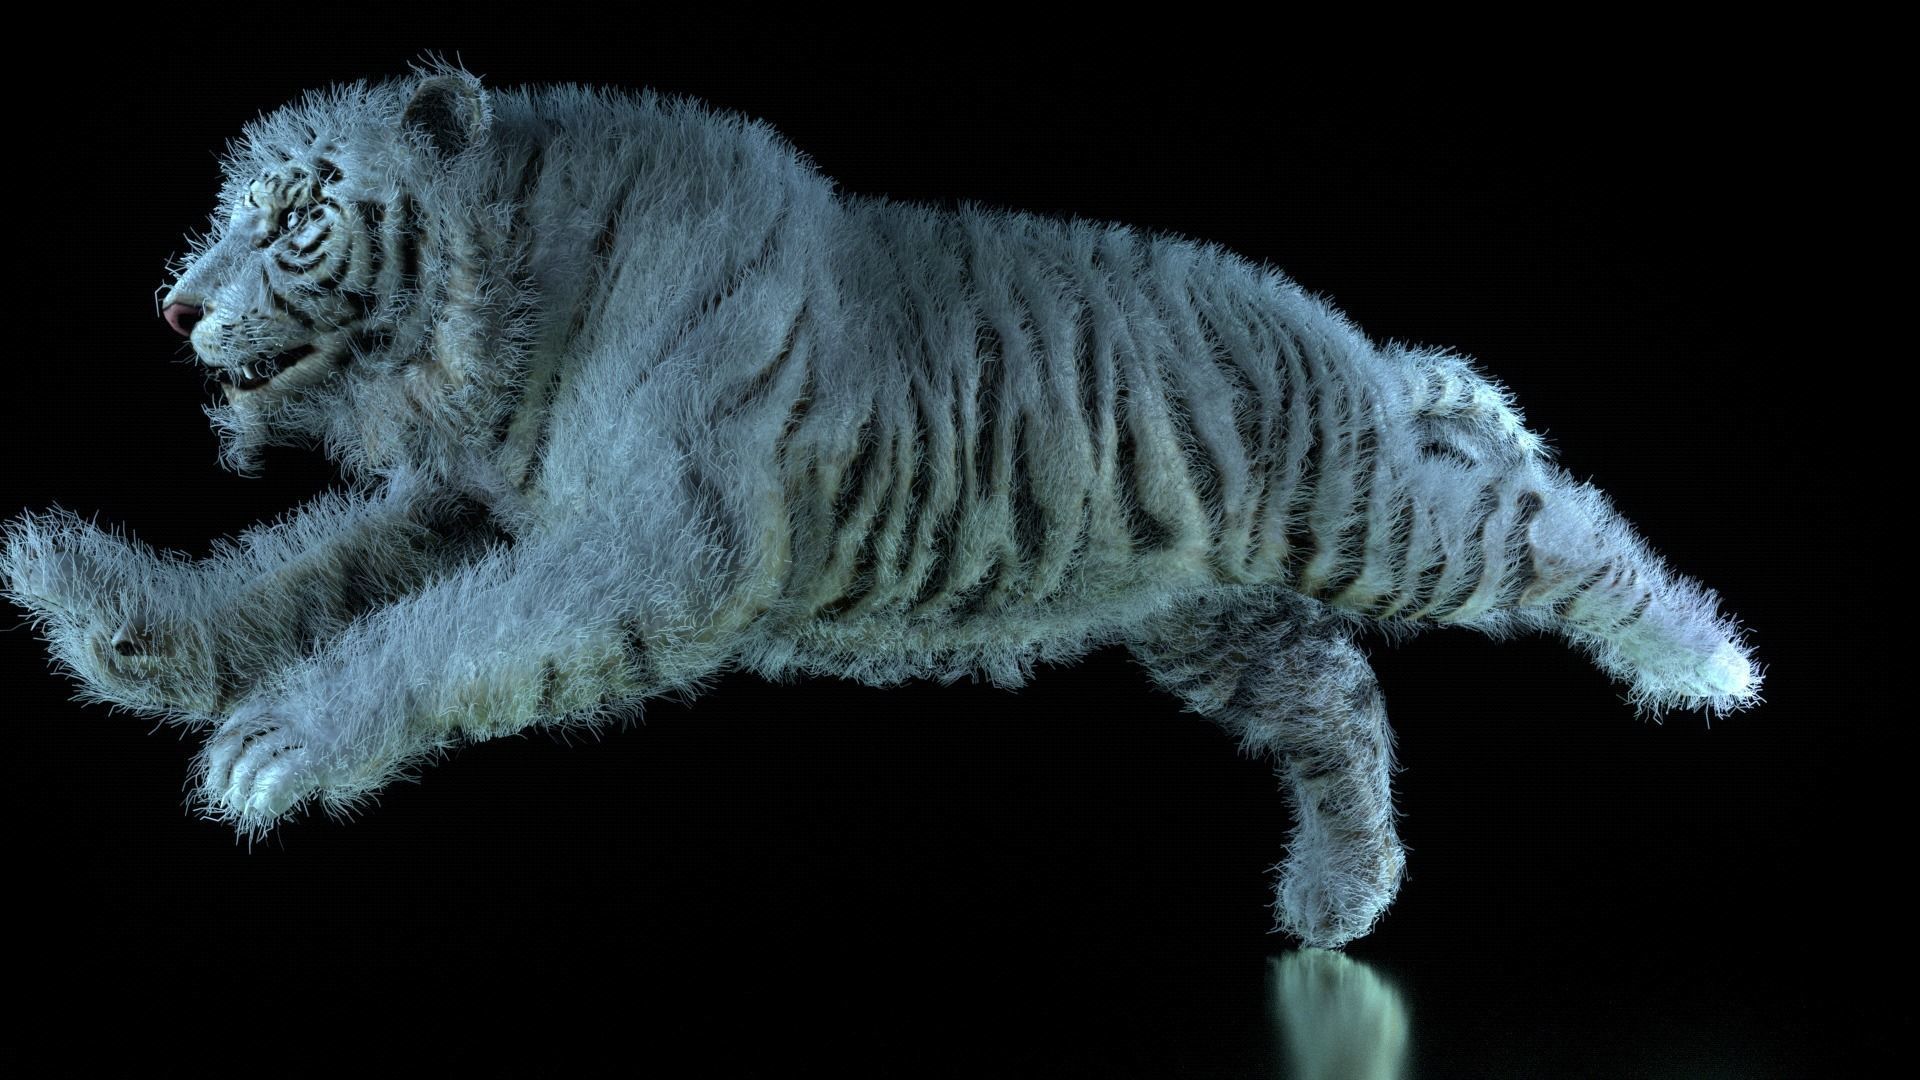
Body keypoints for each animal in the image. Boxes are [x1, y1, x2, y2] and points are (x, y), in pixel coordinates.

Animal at [0, 62, 1762, 948]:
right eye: (224, 212)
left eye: (289, 217)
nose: (173, 305)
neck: (503, 310)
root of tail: (1340, 335)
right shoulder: (474, 507)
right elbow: (297, 576)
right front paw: (109, 615)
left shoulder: (653, 545)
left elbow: (436, 640)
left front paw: (275, 747)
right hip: (1213, 614)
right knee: (1336, 694)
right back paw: (1336, 901)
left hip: (1365, 509)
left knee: (1542, 520)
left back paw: (1706, 661)